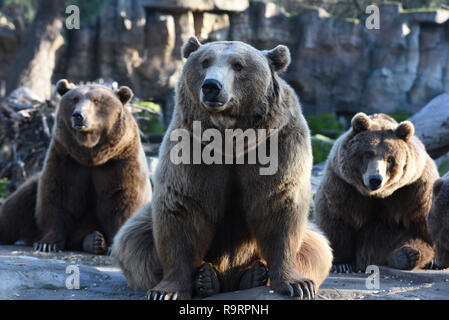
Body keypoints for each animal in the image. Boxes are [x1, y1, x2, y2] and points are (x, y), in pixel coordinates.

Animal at [0, 80, 151, 255]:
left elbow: (123, 198)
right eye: (75, 99)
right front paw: (47, 243)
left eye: (96, 100)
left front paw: (114, 246)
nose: (79, 115)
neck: (91, 154)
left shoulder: (120, 160)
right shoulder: (66, 158)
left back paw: (94, 241)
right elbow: (57, 194)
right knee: (17, 205)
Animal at [110, 37, 330, 300]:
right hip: (143, 221)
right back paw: (207, 279)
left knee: (317, 247)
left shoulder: (278, 142)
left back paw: (252, 275)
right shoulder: (191, 146)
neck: (231, 139)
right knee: (133, 239)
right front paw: (166, 291)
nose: (211, 86)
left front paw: (297, 284)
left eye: (238, 65)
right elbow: (181, 208)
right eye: (205, 61)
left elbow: (280, 205)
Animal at [314, 112, 436, 272]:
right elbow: (338, 218)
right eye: (368, 154)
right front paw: (341, 263)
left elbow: (423, 220)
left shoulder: (414, 187)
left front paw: (434, 260)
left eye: (390, 158)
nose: (375, 179)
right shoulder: (344, 185)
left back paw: (408, 255)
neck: (378, 195)